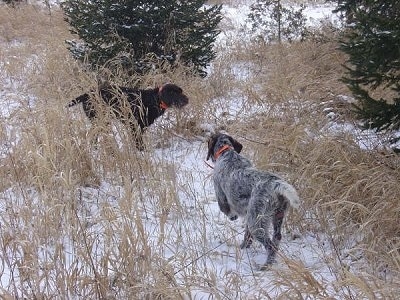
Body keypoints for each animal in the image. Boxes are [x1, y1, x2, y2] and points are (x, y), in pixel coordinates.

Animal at [208, 134, 298, 268]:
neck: (226, 151)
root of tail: (275, 184)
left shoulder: (221, 196)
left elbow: (226, 209)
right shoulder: (248, 214)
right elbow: (247, 236)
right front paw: (243, 248)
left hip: (256, 224)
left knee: (270, 246)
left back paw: (265, 266)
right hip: (276, 216)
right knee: (276, 238)